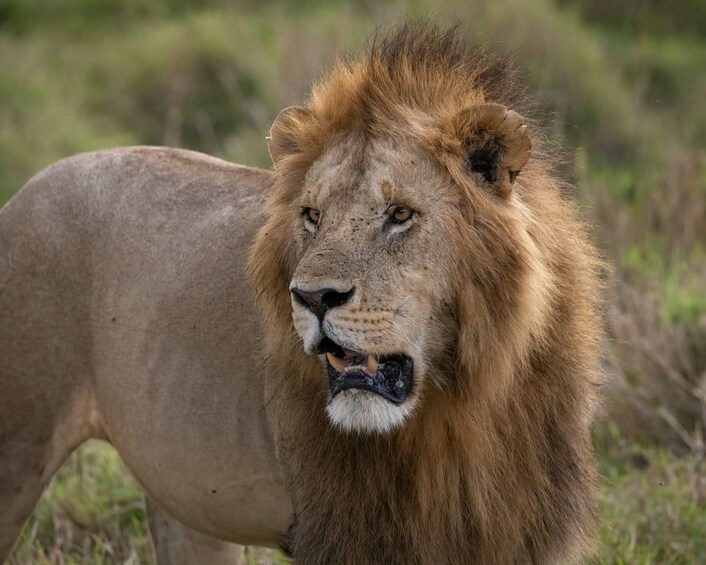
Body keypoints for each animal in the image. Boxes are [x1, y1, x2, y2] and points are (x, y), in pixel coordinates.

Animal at [0, 23, 604, 564]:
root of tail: (26, 189)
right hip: (18, 443)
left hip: (188, 507)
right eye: (313, 215)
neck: (464, 404)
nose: (313, 298)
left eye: (400, 214)